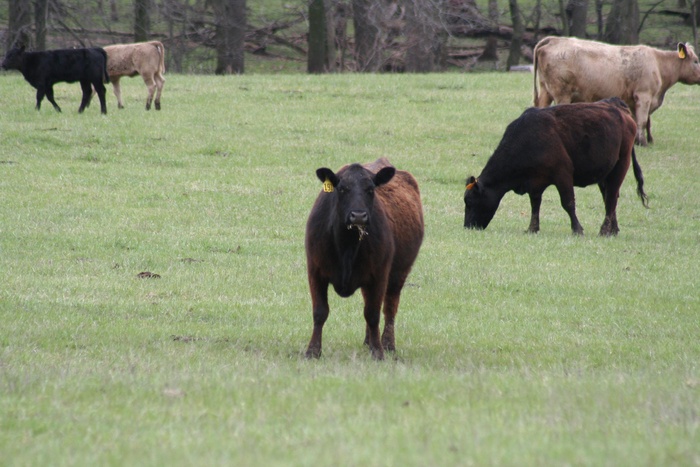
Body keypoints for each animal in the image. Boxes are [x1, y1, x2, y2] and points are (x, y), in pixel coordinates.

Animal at [304, 159, 424, 360]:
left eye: (370, 189)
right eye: (342, 189)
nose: (358, 216)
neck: (346, 246)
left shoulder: (379, 274)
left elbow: (373, 313)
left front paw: (378, 352)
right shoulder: (315, 271)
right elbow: (320, 312)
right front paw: (312, 351)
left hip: (398, 274)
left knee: (389, 308)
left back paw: (387, 344)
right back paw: (368, 341)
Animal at [464, 100, 652, 236]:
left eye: (471, 202)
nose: (467, 226)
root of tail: (619, 107)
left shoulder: (562, 174)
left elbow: (567, 202)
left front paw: (577, 229)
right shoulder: (535, 183)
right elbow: (535, 204)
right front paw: (532, 228)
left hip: (620, 165)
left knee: (611, 197)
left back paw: (605, 230)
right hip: (604, 173)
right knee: (609, 198)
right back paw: (613, 229)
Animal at [532, 36, 700, 145]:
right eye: (696, 61)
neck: (658, 64)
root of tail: (554, 40)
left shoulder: (634, 100)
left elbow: (642, 120)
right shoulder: (644, 95)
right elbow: (642, 120)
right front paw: (643, 142)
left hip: (546, 91)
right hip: (562, 94)